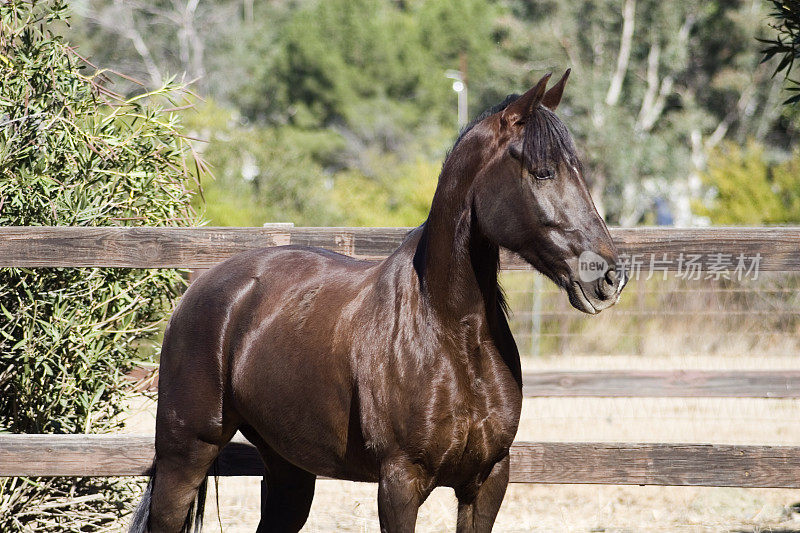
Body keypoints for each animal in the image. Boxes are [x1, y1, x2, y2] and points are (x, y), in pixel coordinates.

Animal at [130, 69, 624, 532]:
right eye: (543, 172)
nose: (608, 276)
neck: (450, 333)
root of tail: (201, 289)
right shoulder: (400, 482)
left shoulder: (487, 481)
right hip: (186, 454)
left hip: (288, 468)